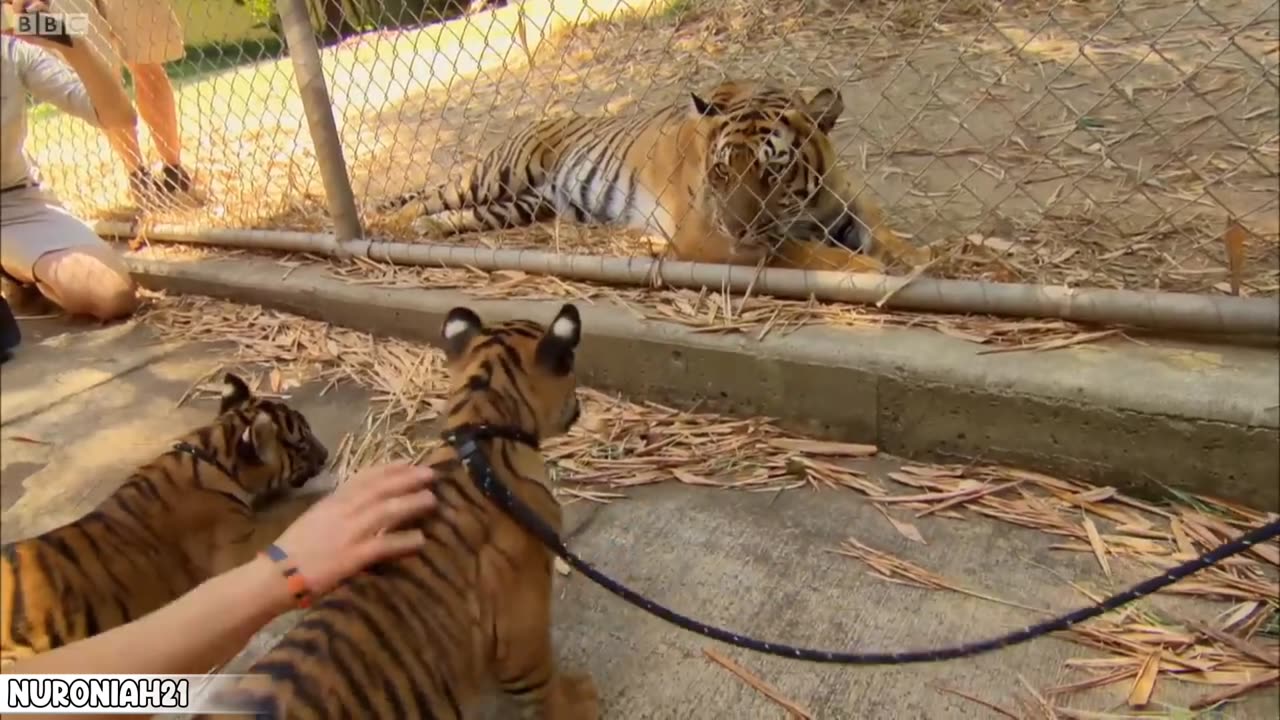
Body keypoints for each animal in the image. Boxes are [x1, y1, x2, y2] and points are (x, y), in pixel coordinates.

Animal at [1, 371, 330, 666]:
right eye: (302, 444)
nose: (327, 454)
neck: (213, 453)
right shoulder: (238, 546)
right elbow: (287, 514)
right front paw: (322, 496)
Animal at [373, 79, 926, 272]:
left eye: (775, 169)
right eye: (722, 171)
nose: (739, 226)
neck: (807, 204)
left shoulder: (844, 201)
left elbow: (882, 228)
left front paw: (919, 258)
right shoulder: (706, 235)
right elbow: (805, 252)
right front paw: (867, 270)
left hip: (525, 204)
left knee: (461, 215)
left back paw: (428, 229)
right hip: (498, 175)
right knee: (430, 195)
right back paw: (390, 222)